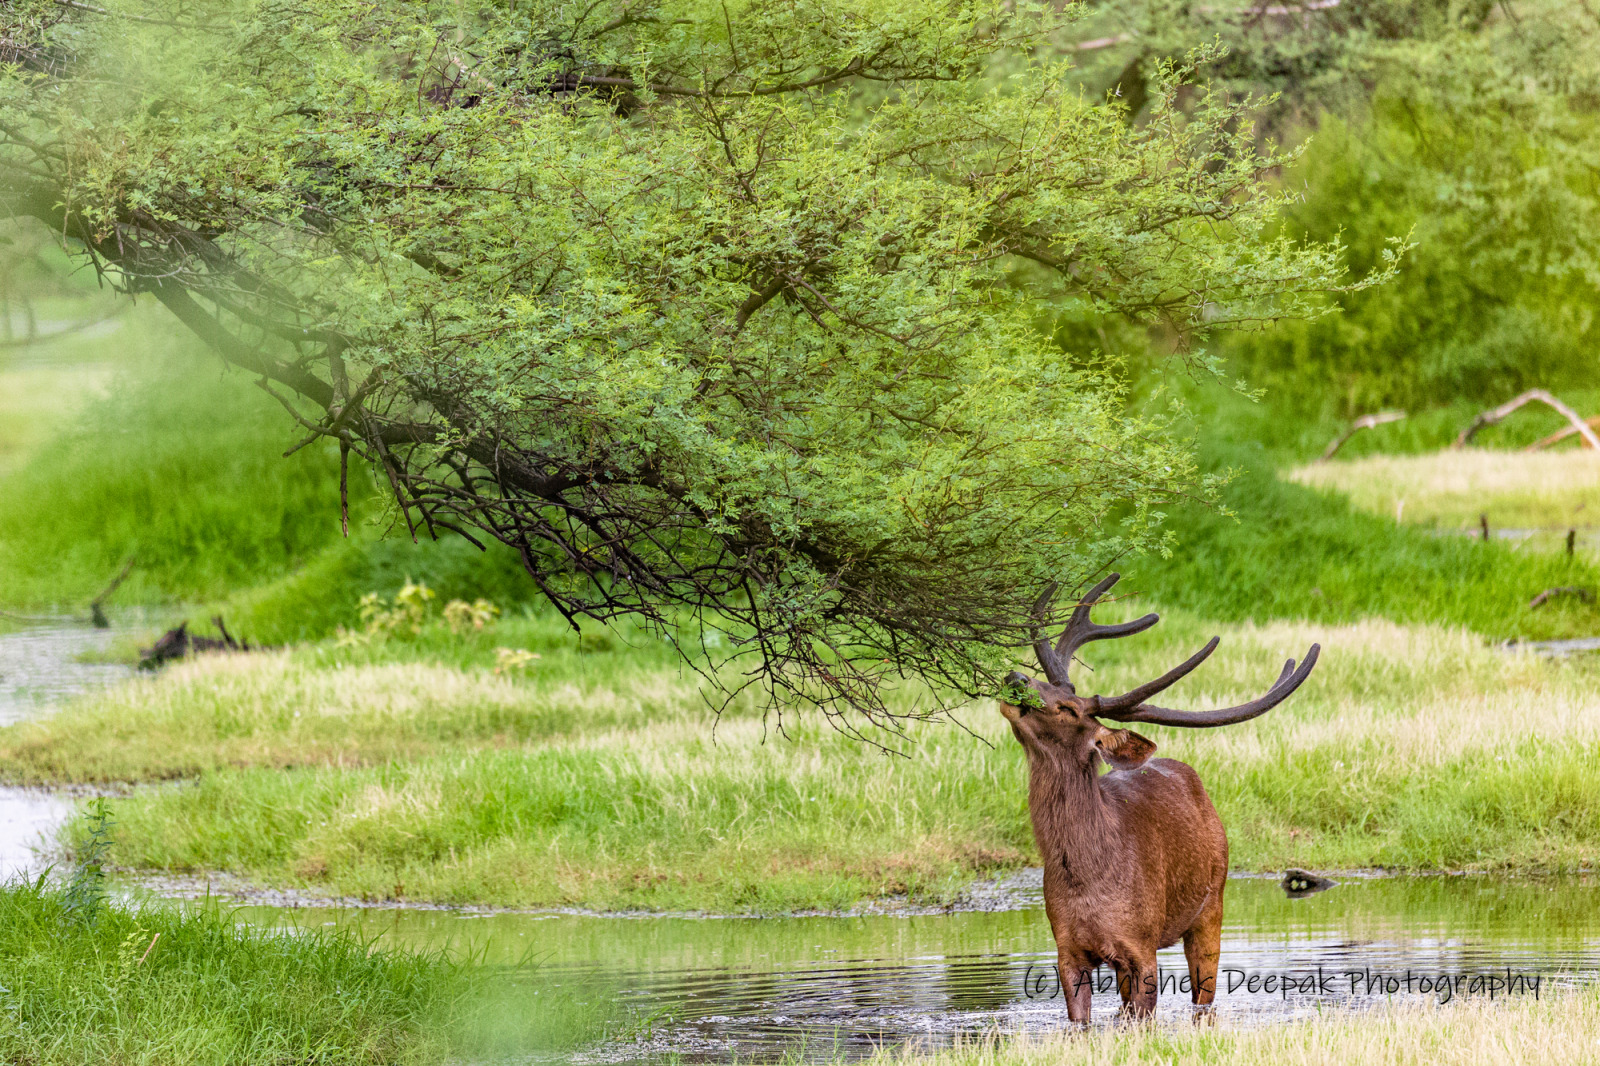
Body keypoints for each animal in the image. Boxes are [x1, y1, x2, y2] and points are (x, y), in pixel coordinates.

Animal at [998, 573, 1324, 1024]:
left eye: (1068, 709)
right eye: (1044, 683)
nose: (1016, 678)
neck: (1086, 882)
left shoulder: (1141, 942)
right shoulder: (1066, 947)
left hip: (1213, 902)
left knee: (1203, 995)